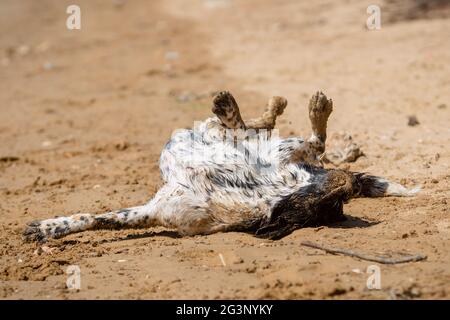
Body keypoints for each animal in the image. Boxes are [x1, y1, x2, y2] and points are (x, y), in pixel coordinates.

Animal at [23, 89, 418, 240]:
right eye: (333, 205)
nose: (347, 186)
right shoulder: (154, 210)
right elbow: (91, 218)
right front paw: (49, 227)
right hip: (247, 143)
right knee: (252, 127)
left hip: (272, 147)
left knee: (277, 132)